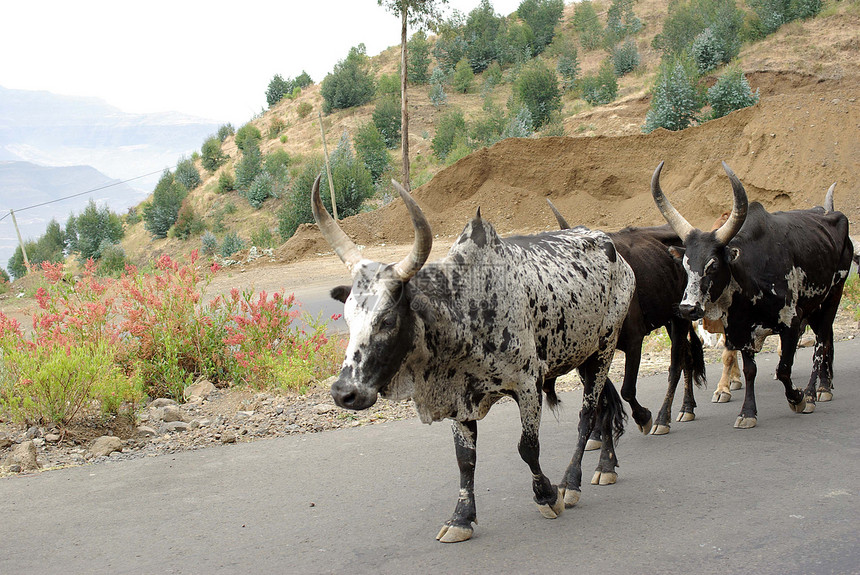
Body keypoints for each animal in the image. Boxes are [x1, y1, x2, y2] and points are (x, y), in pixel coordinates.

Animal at [312, 178, 636, 544]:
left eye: (387, 320)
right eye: (348, 318)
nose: (344, 393)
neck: (470, 308)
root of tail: (611, 247)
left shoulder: (528, 385)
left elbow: (528, 447)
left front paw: (547, 496)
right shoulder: (458, 398)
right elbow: (465, 459)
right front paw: (461, 518)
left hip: (604, 348)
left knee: (588, 415)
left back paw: (572, 482)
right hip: (583, 354)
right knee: (605, 406)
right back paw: (606, 465)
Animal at [552, 200, 704, 434]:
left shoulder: (634, 341)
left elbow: (627, 389)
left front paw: (643, 417)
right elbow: (599, 394)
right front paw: (597, 432)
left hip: (681, 319)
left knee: (676, 365)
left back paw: (663, 419)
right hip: (670, 320)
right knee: (687, 356)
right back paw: (687, 407)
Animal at [656, 162, 848, 428]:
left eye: (713, 265)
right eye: (685, 265)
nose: (687, 308)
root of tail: (831, 214)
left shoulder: (792, 321)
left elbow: (784, 368)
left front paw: (797, 398)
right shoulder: (741, 327)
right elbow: (749, 370)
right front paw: (747, 412)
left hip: (832, 297)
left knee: (822, 343)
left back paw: (813, 392)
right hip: (815, 306)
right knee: (825, 340)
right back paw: (824, 386)